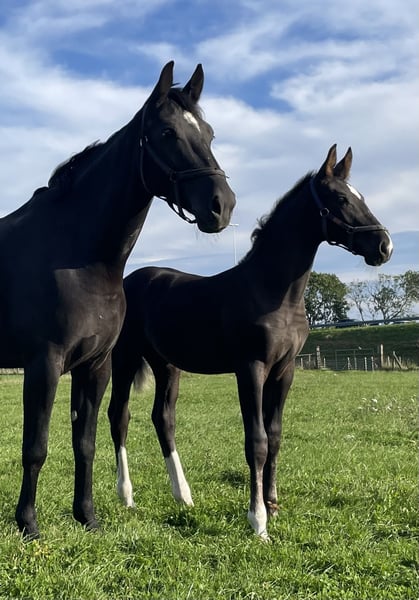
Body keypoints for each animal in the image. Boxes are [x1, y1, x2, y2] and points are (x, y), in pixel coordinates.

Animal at [0, 61, 236, 539]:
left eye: (209, 133)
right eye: (166, 132)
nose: (222, 206)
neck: (77, 256)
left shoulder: (96, 366)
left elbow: (85, 443)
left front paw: (87, 516)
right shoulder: (44, 363)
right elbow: (36, 446)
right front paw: (28, 523)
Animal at [108, 145, 393, 539]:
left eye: (360, 196)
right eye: (340, 198)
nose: (384, 246)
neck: (274, 293)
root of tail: (133, 280)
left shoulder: (284, 372)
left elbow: (275, 436)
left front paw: (272, 505)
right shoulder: (250, 369)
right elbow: (255, 441)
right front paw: (258, 521)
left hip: (167, 365)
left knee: (163, 418)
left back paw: (183, 496)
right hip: (124, 359)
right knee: (119, 416)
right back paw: (127, 495)